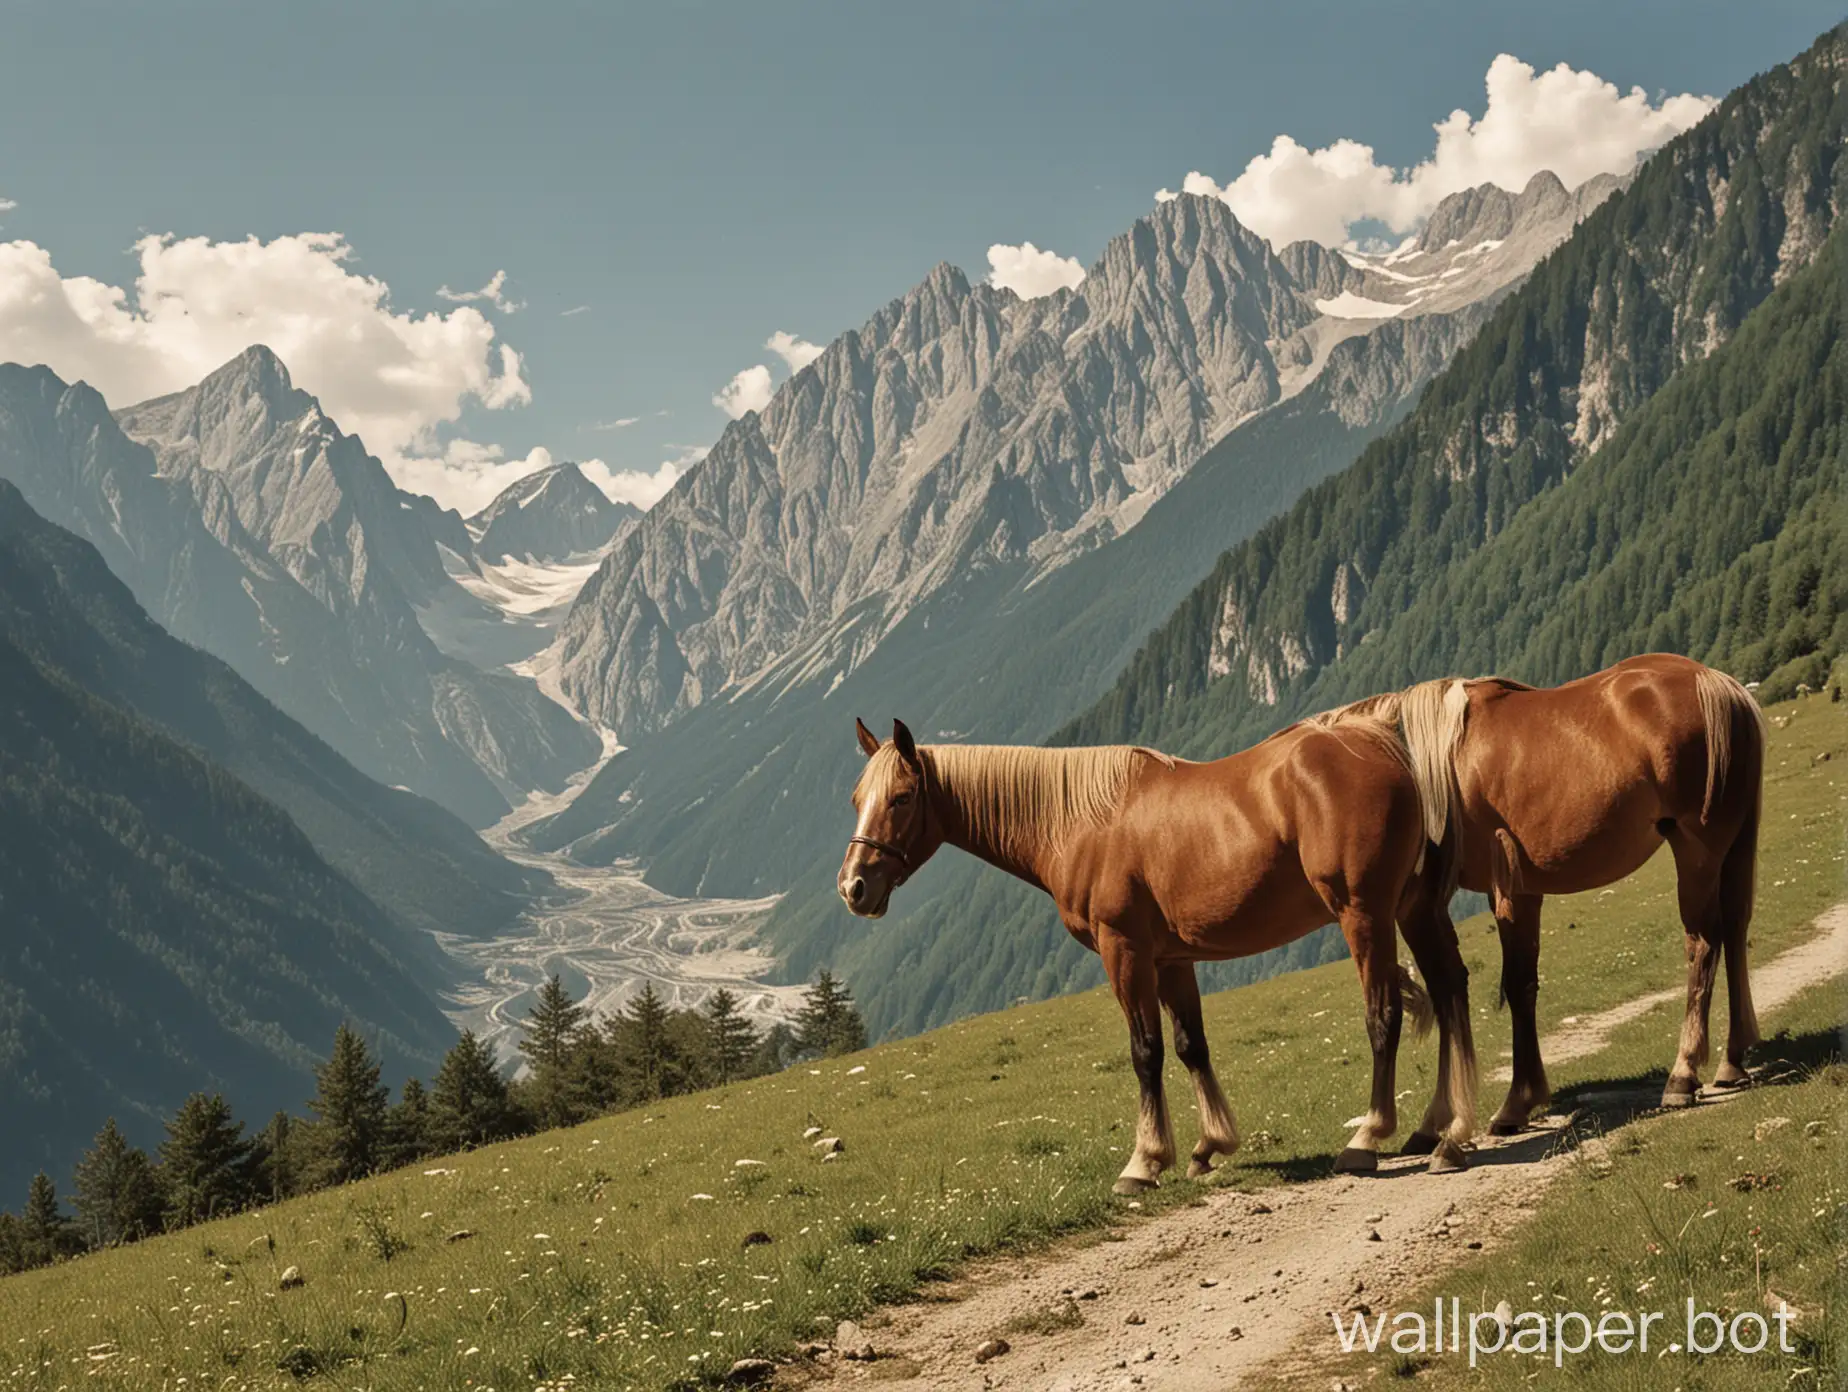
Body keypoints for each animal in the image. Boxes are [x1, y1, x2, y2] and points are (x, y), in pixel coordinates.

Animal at [838, 706, 1485, 1197]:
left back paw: (1369, 1136)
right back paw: (1446, 1134)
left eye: (901, 798)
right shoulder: (1173, 961)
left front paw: (1145, 1161)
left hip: (1365, 915)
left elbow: (1146, 1052)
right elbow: (1191, 1046)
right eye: (856, 798)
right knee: (1450, 990)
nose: (854, 887)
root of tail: (1381, 743)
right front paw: (1209, 1146)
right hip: (1413, 910)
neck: (1078, 822)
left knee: (1386, 1015)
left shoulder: (1123, 951)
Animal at [1382, 650, 1766, 1138]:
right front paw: (1525, 1097)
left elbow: (1503, 985)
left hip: (1697, 850)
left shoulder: (1488, 895)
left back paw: (1683, 1073)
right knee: (1735, 929)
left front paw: (1512, 1103)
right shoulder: (1521, 892)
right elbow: (1523, 986)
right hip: (1735, 844)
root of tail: (1718, 684)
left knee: (1704, 943)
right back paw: (1732, 1060)